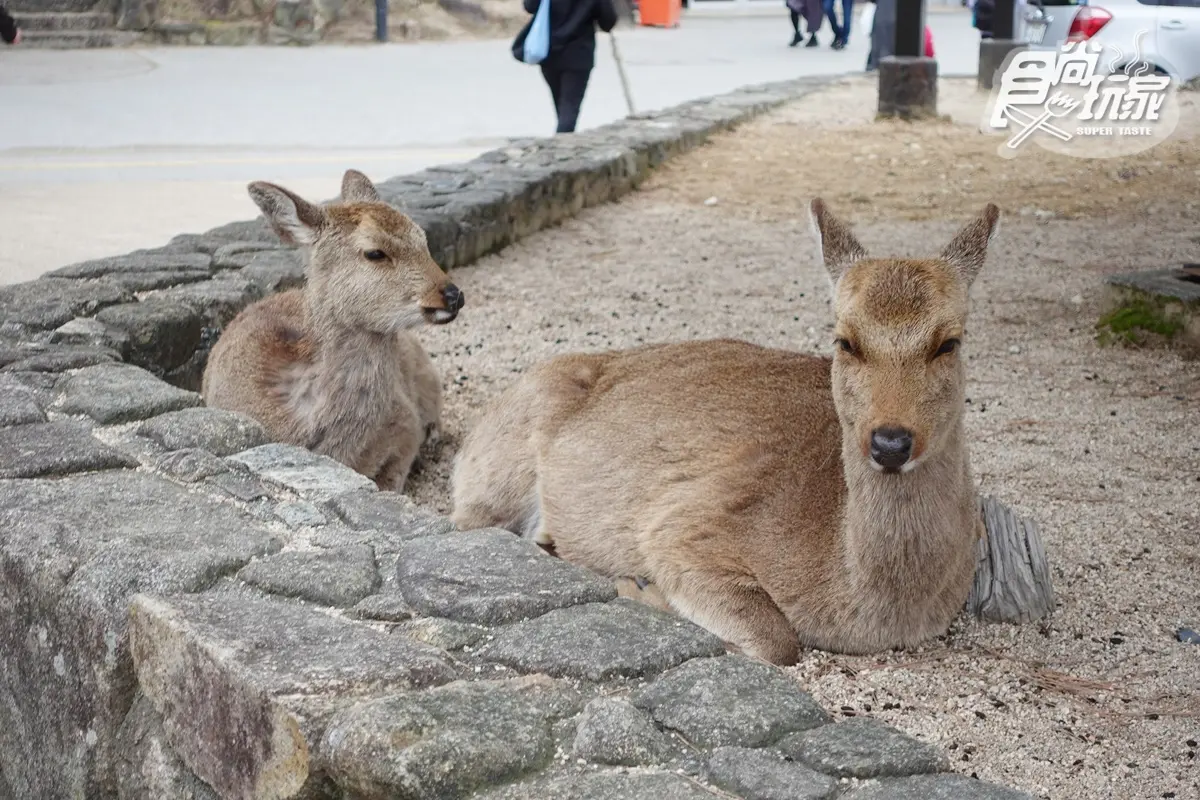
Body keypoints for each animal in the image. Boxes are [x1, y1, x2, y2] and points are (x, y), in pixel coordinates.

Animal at [449, 199, 1000, 666]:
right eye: (845, 341)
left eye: (949, 342)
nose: (890, 442)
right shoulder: (686, 526)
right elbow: (777, 641)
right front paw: (639, 589)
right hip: (497, 471)